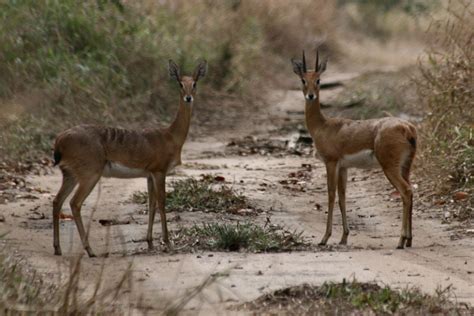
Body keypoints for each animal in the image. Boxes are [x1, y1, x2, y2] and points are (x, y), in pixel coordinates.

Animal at [52, 58, 207, 256]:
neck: (171, 137)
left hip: (69, 173)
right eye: (180, 83)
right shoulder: (160, 170)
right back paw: (90, 250)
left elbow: (151, 204)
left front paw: (150, 243)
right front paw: (167, 243)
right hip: (90, 172)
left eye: (194, 83)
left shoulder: (149, 174)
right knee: (74, 203)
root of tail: (59, 140)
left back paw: (58, 248)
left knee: (57, 200)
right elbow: (162, 203)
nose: (188, 97)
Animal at [290, 50, 416, 249]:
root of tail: (407, 128)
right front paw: (344, 237)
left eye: (319, 79)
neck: (323, 126)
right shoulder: (344, 167)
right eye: (303, 79)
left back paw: (400, 241)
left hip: (390, 168)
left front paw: (325, 238)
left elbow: (331, 195)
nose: (310, 96)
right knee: (410, 192)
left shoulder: (331, 162)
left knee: (406, 192)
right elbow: (342, 196)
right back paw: (409, 240)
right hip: (405, 167)